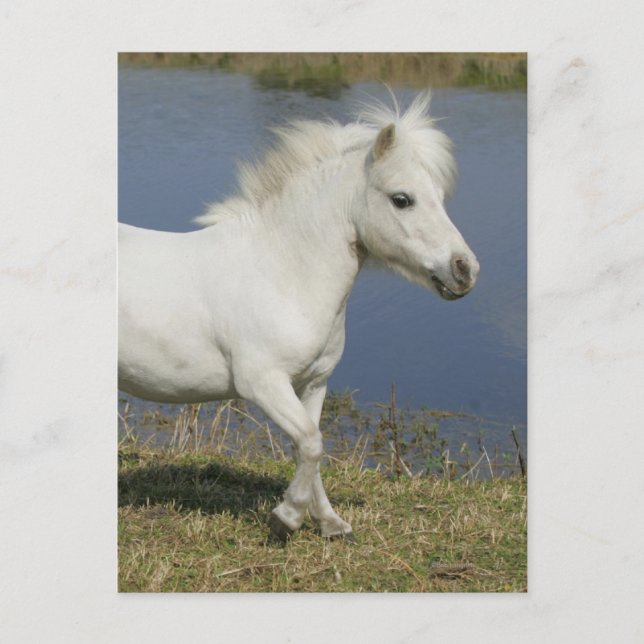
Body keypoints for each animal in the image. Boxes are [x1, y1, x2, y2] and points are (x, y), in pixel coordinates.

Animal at [118, 92, 479, 542]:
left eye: (440, 196)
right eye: (402, 199)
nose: (465, 270)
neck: (282, 271)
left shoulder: (313, 384)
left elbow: (310, 447)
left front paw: (330, 523)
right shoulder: (263, 383)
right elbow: (310, 443)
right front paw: (285, 518)